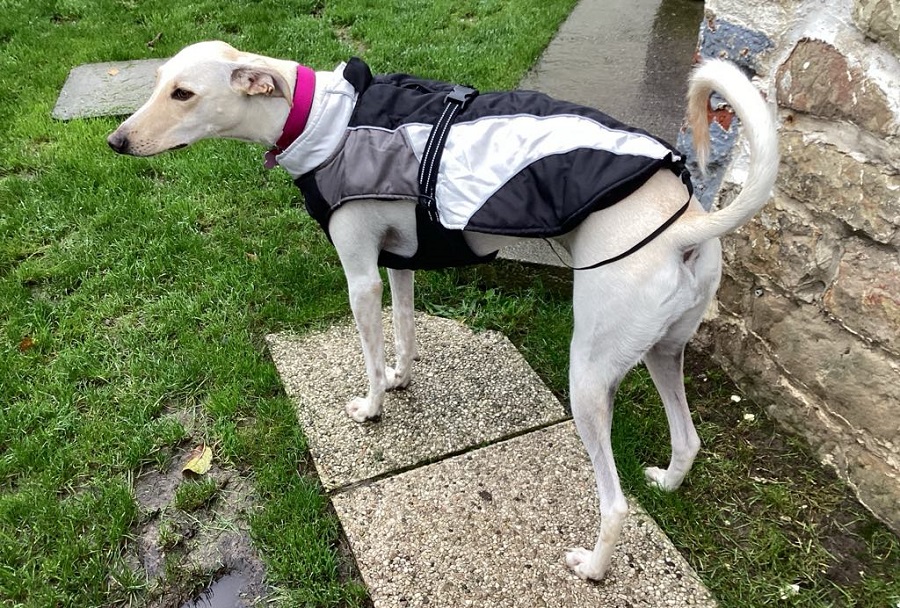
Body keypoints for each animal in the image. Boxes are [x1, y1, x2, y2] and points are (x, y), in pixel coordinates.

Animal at [109, 40, 776, 580]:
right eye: (158, 81)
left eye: (183, 92)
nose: (115, 141)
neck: (327, 119)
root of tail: (686, 225)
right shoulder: (400, 262)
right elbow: (404, 333)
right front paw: (402, 380)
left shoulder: (361, 278)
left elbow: (370, 354)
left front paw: (373, 407)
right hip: (664, 352)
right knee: (687, 440)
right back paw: (667, 481)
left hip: (589, 376)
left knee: (613, 504)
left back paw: (593, 567)